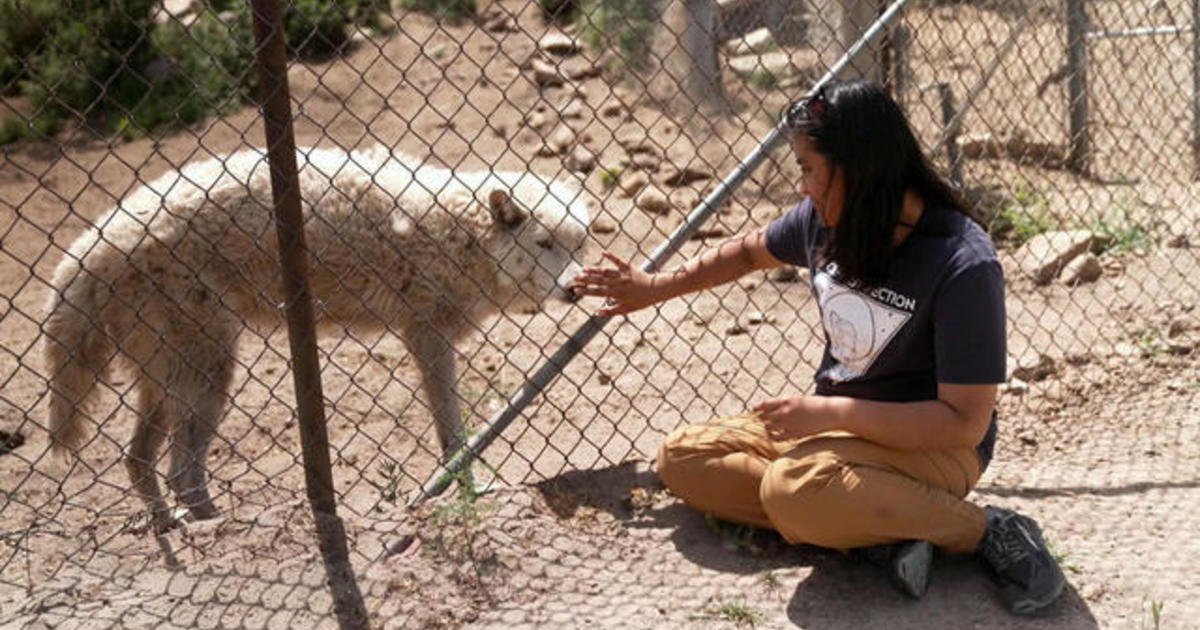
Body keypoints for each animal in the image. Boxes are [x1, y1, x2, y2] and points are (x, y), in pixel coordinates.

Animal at [45, 143, 590, 530]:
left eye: (579, 244)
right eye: (543, 243)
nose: (575, 287)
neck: (459, 233)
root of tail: (88, 247)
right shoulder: (426, 337)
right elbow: (454, 437)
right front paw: (469, 492)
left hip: (166, 382)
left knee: (138, 460)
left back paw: (168, 526)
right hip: (209, 371)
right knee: (182, 472)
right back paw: (220, 526)